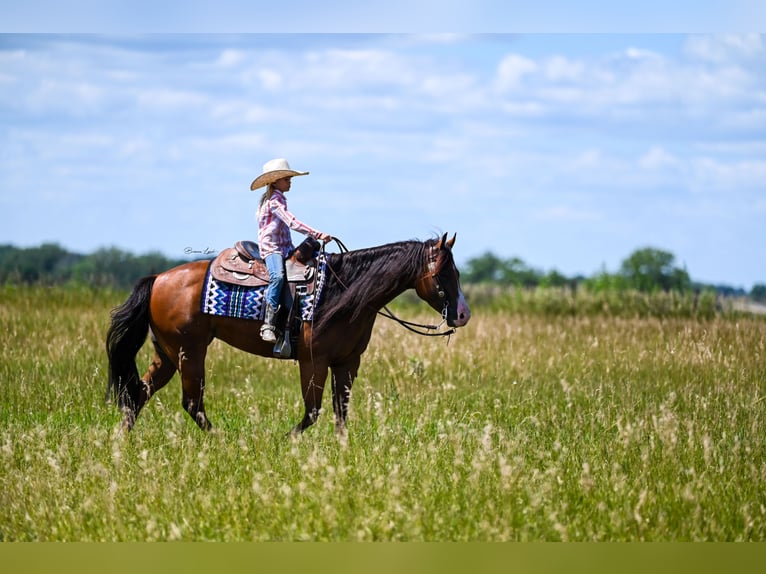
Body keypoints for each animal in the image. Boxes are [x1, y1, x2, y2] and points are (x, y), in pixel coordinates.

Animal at [105, 234, 472, 436]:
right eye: (442, 273)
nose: (463, 314)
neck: (342, 291)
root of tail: (158, 279)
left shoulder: (347, 362)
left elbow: (341, 412)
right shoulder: (313, 360)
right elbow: (313, 412)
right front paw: (283, 441)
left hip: (167, 353)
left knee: (139, 394)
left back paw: (121, 442)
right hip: (189, 351)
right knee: (192, 403)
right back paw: (224, 441)